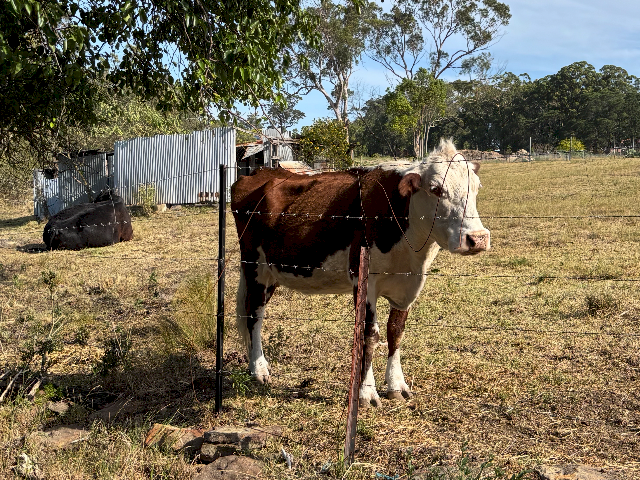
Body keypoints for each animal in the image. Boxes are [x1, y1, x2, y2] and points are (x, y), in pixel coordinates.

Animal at [230, 139, 490, 407]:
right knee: (253, 314)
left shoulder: (410, 284)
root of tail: (261, 173)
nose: (478, 238)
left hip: (272, 272)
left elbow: (395, 331)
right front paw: (366, 392)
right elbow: (369, 335)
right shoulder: (363, 279)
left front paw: (397, 385)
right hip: (254, 267)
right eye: (436, 189)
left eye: (477, 187)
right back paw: (258, 369)